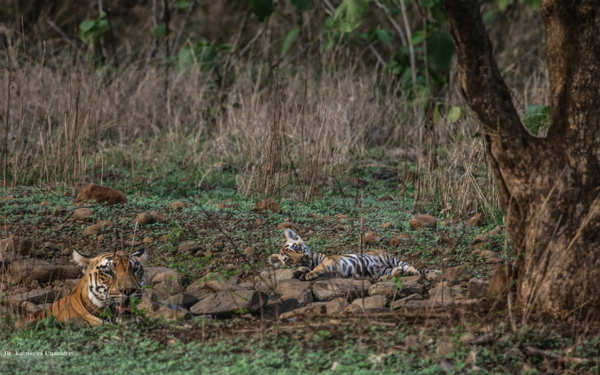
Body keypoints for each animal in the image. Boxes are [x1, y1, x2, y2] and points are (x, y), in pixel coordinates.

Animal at [270, 229, 420, 282]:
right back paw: (388, 276)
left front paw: (309, 274)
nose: (302, 258)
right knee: (393, 272)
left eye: (296, 247)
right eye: (289, 260)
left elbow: (319, 267)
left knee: (409, 267)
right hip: (381, 269)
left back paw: (417, 273)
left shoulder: (330, 261)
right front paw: (299, 272)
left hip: (390, 259)